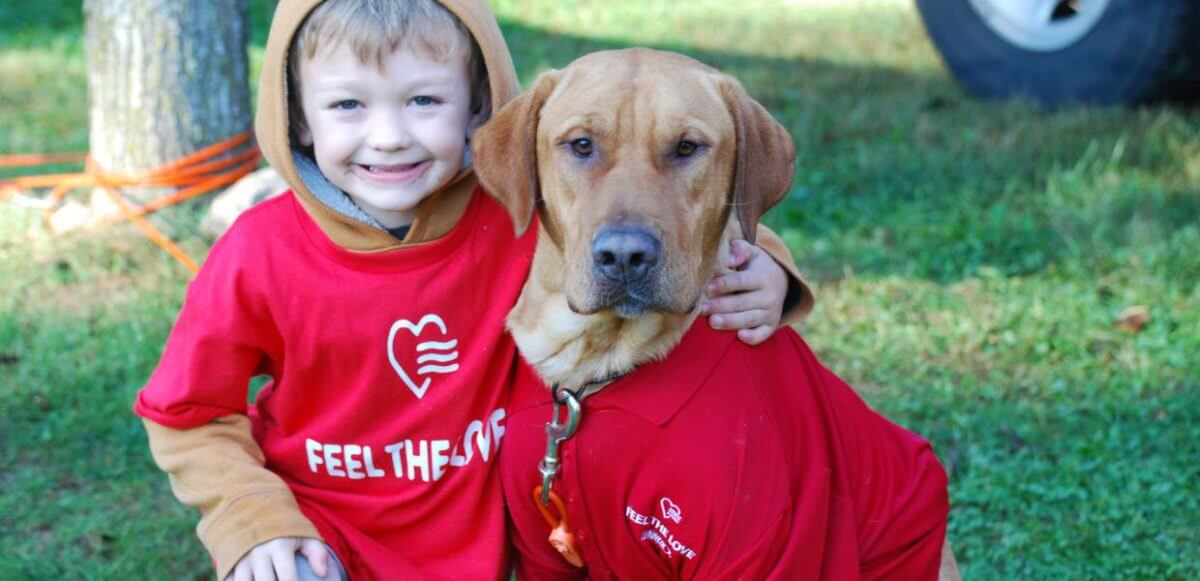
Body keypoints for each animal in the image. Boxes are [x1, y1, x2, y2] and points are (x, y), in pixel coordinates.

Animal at [472, 49, 950, 581]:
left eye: (687, 148)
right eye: (581, 145)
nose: (625, 256)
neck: (597, 369)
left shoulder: (762, 544)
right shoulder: (543, 552)